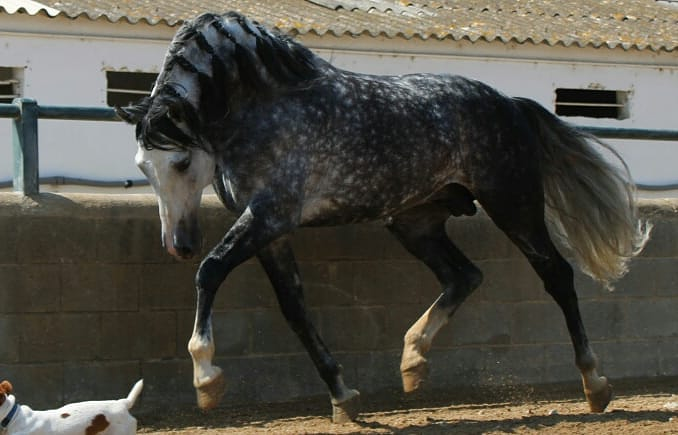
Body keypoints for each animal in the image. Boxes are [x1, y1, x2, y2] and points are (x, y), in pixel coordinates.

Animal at [116, 11, 650, 423]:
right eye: (143, 166)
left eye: (181, 161)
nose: (179, 245)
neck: (260, 105)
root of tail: (511, 105)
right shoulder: (271, 231)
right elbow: (294, 308)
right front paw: (343, 397)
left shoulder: (270, 215)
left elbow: (212, 271)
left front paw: (207, 379)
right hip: (413, 222)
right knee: (464, 276)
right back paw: (413, 362)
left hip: (513, 204)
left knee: (555, 274)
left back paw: (595, 385)